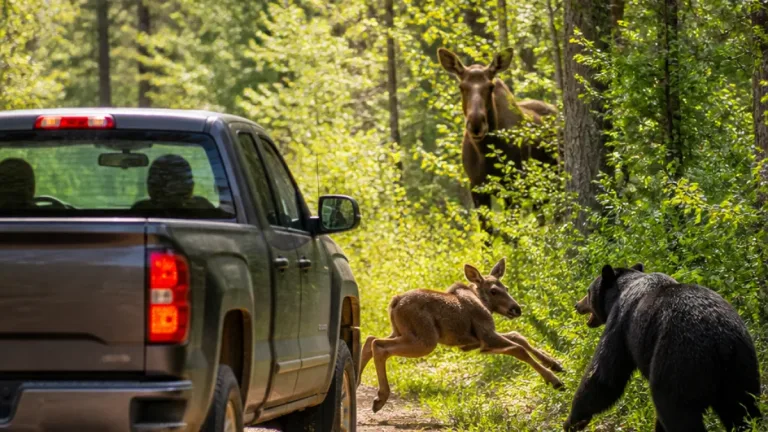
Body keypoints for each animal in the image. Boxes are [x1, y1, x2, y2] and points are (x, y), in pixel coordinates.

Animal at [358, 258, 564, 413]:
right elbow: (518, 348)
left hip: (401, 332)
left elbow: (518, 337)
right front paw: (554, 380)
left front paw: (554, 363)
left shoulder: (479, 342)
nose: (516, 309)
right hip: (425, 340)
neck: (484, 304)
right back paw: (380, 397)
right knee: (378, 345)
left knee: (370, 339)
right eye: (494, 290)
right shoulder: (486, 336)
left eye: (506, 288)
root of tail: (395, 302)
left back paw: (359, 384)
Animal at [437, 47, 560, 235]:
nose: (476, 124)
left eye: (491, 86)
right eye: (461, 87)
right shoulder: (477, 187)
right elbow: (488, 233)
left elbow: (512, 231)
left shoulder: (513, 185)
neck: (486, 152)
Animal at [564, 263, 761, 432]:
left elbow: (604, 373)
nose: (577, 305)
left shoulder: (621, 321)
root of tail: (720, 343)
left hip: (678, 364)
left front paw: (572, 420)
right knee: (743, 408)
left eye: (588, 292)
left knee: (675, 411)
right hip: (741, 368)